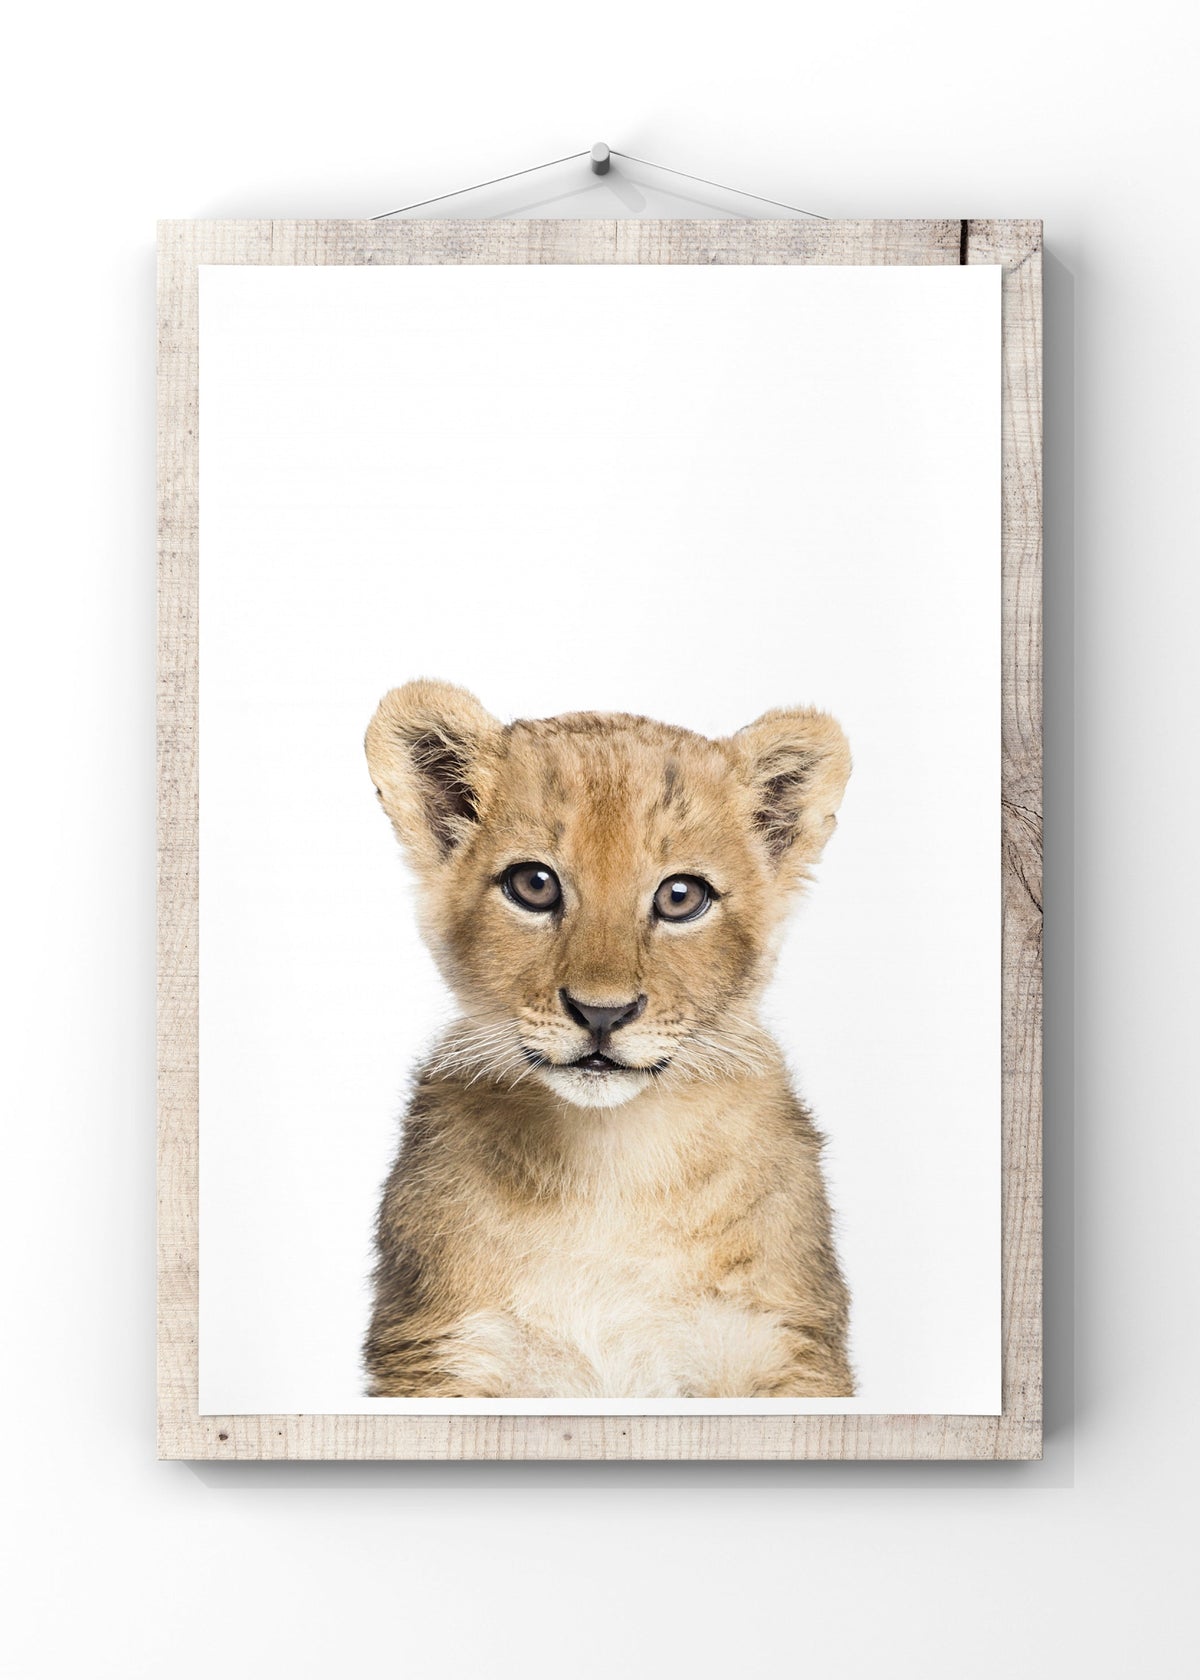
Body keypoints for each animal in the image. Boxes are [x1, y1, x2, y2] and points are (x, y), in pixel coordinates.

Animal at [362, 680, 854, 1398]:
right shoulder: (442, 1352)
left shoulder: (784, 1348)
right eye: (534, 885)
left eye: (681, 896)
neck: (610, 1165)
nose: (601, 1014)